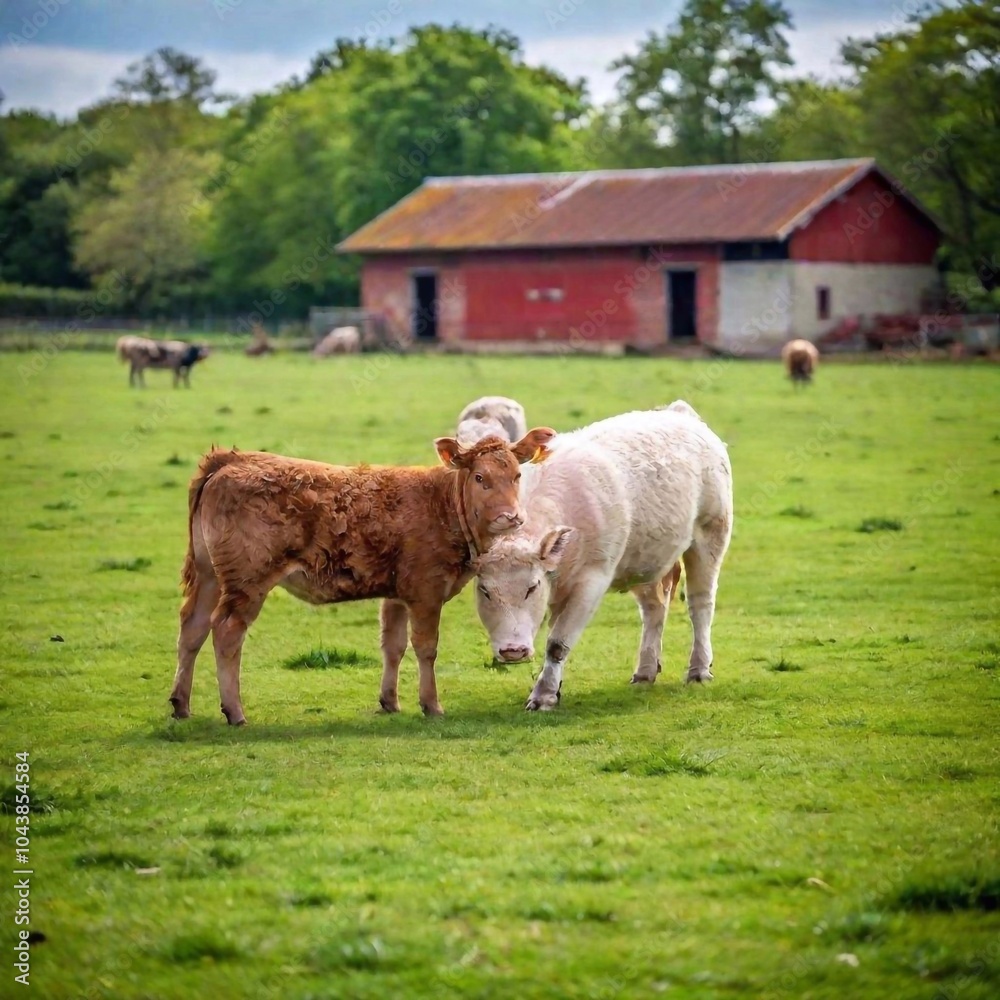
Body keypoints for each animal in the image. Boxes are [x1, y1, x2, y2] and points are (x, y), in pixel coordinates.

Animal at [169, 428, 556, 725]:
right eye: (480, 478)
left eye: (517, 475)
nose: (511, 516)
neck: (441, 504)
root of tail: (232, 459)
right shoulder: (426, 592)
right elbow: (426, 648)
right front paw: (431, 704)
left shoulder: (397, 594)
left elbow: (393, 646)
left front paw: (390, 701)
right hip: (247, 582)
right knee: (226, 632)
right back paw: (234, 711)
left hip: (209, 576)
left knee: (193, 627)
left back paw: (181, 704)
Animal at [472, 400, 732, 710]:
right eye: (485, 591)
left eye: (531, 588)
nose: (513, 650)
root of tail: (679, 412)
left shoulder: (592, 581)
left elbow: (557, 643)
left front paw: (543, 695)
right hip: (645, 558)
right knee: (654, 609)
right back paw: (646, 670)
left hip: (710, 534)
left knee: (700, 603)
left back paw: (699, 669)